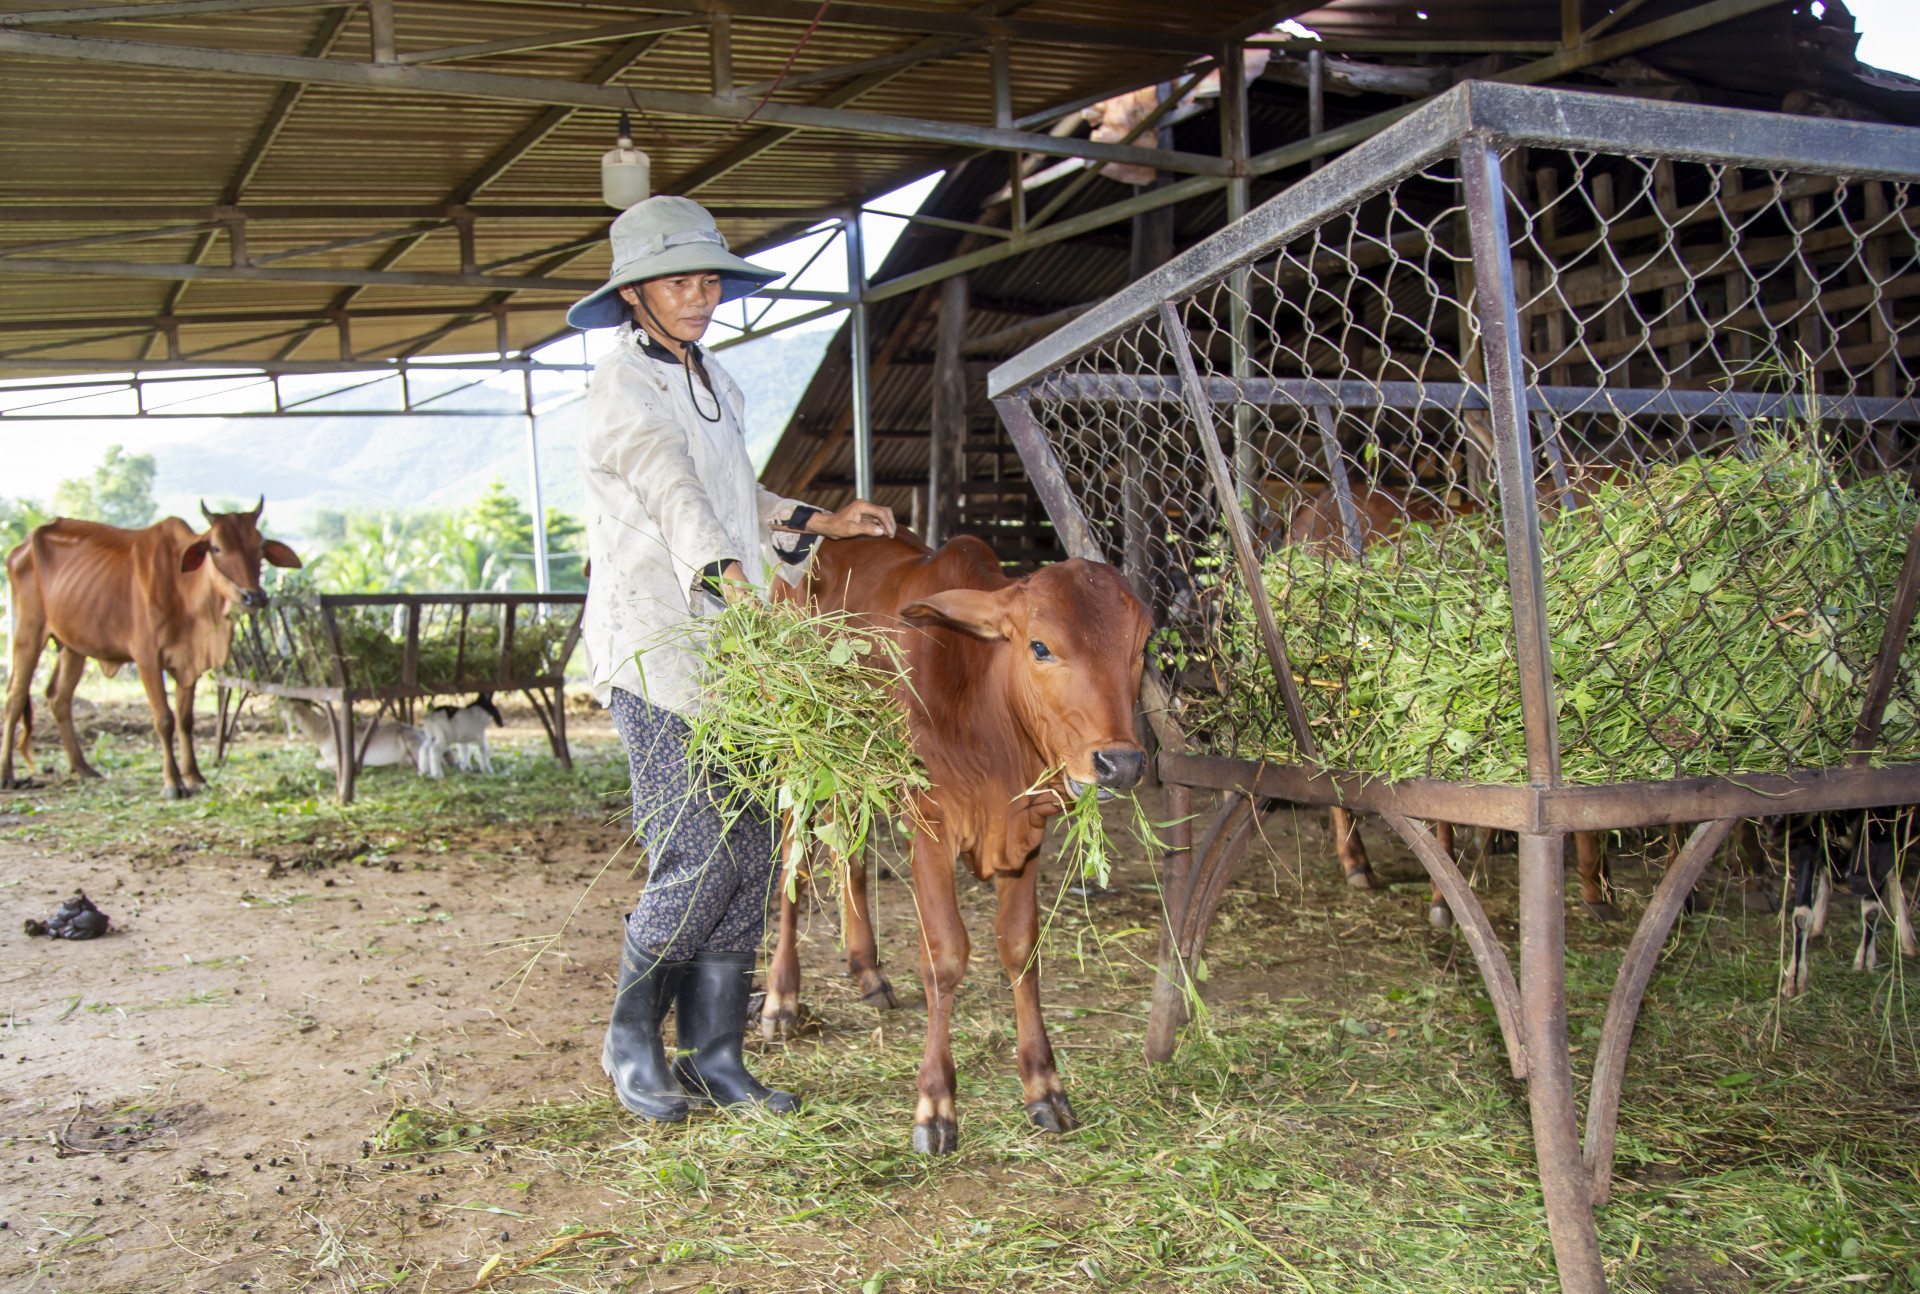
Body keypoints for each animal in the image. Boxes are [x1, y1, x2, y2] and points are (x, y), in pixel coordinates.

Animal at [3, 495, 299, 790]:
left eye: (260, 547)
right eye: (216, 548)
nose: (254, 597)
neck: (182, 587)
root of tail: (23, 545)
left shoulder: (188, 662)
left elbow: (185, 720)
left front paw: (194, 776)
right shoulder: (146, 658)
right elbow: (164, 719)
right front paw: (173, 782)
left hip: (73, 646)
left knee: (59, 698)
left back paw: (82, 767)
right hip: (28, 632)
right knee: (15, 698)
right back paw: (8, 772)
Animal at [760, 529, 1152, 1151]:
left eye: (1141, 647)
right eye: (1040, 647)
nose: (1122, 764)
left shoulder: (1026, 835)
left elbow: (1020, 947)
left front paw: (1044, 1087)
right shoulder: (930, 827)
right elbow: (944, 956)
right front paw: (935, 1104)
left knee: (851, 856)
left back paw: (868, 970)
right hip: (797, 757)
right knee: (794, 867)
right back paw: (780, 1000)